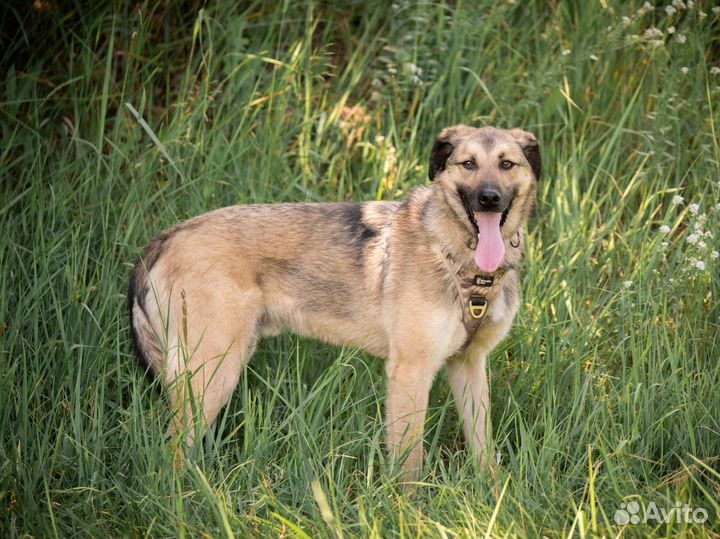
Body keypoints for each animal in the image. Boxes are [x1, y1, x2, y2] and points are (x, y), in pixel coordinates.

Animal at [128, 125, 540, 480]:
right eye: (468, 164)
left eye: (507, 164)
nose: (489, 199)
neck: (458, 259)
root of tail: (167, 237)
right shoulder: (410, 370)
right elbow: (409, 462)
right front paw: (410, 510)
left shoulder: (469, 365)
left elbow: (483, 448)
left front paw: (491, 493)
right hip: (212, 373)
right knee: (171, 452)